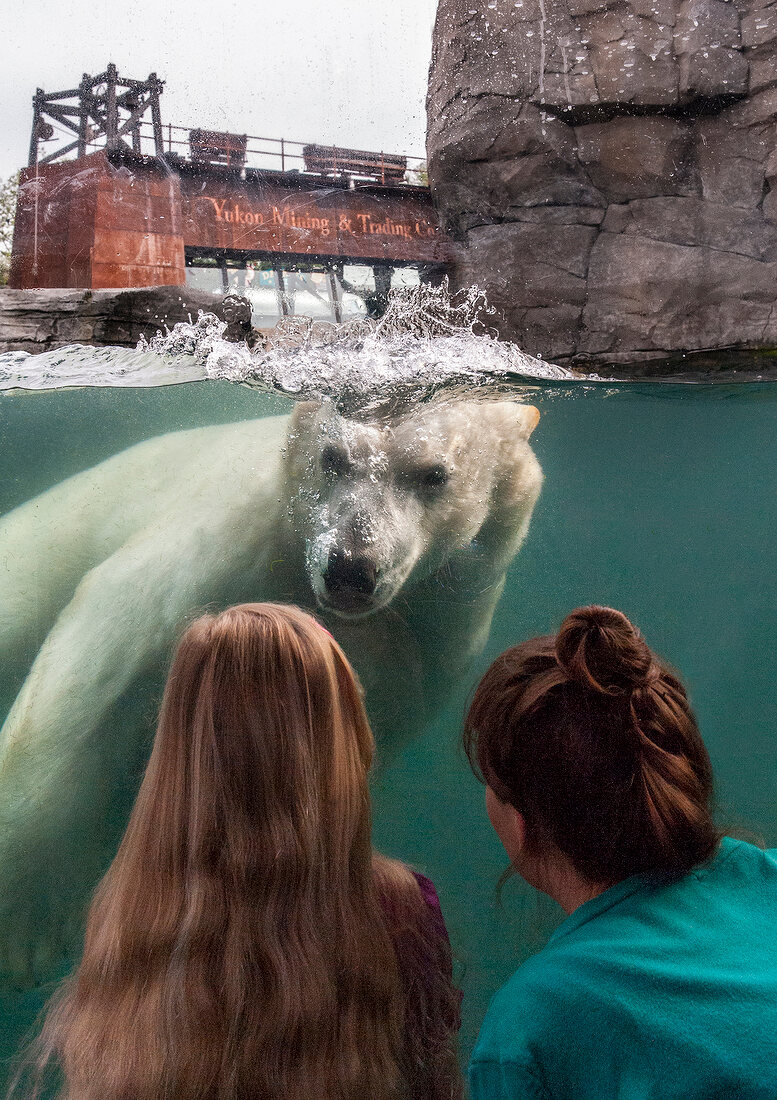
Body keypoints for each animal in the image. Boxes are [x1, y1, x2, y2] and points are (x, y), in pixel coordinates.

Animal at [0, 398, 539, 990]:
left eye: (434, 474)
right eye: (333, 457)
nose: (350, 567)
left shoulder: (434, 629)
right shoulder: (244, 532)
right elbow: (112, 646)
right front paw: (30, 920)